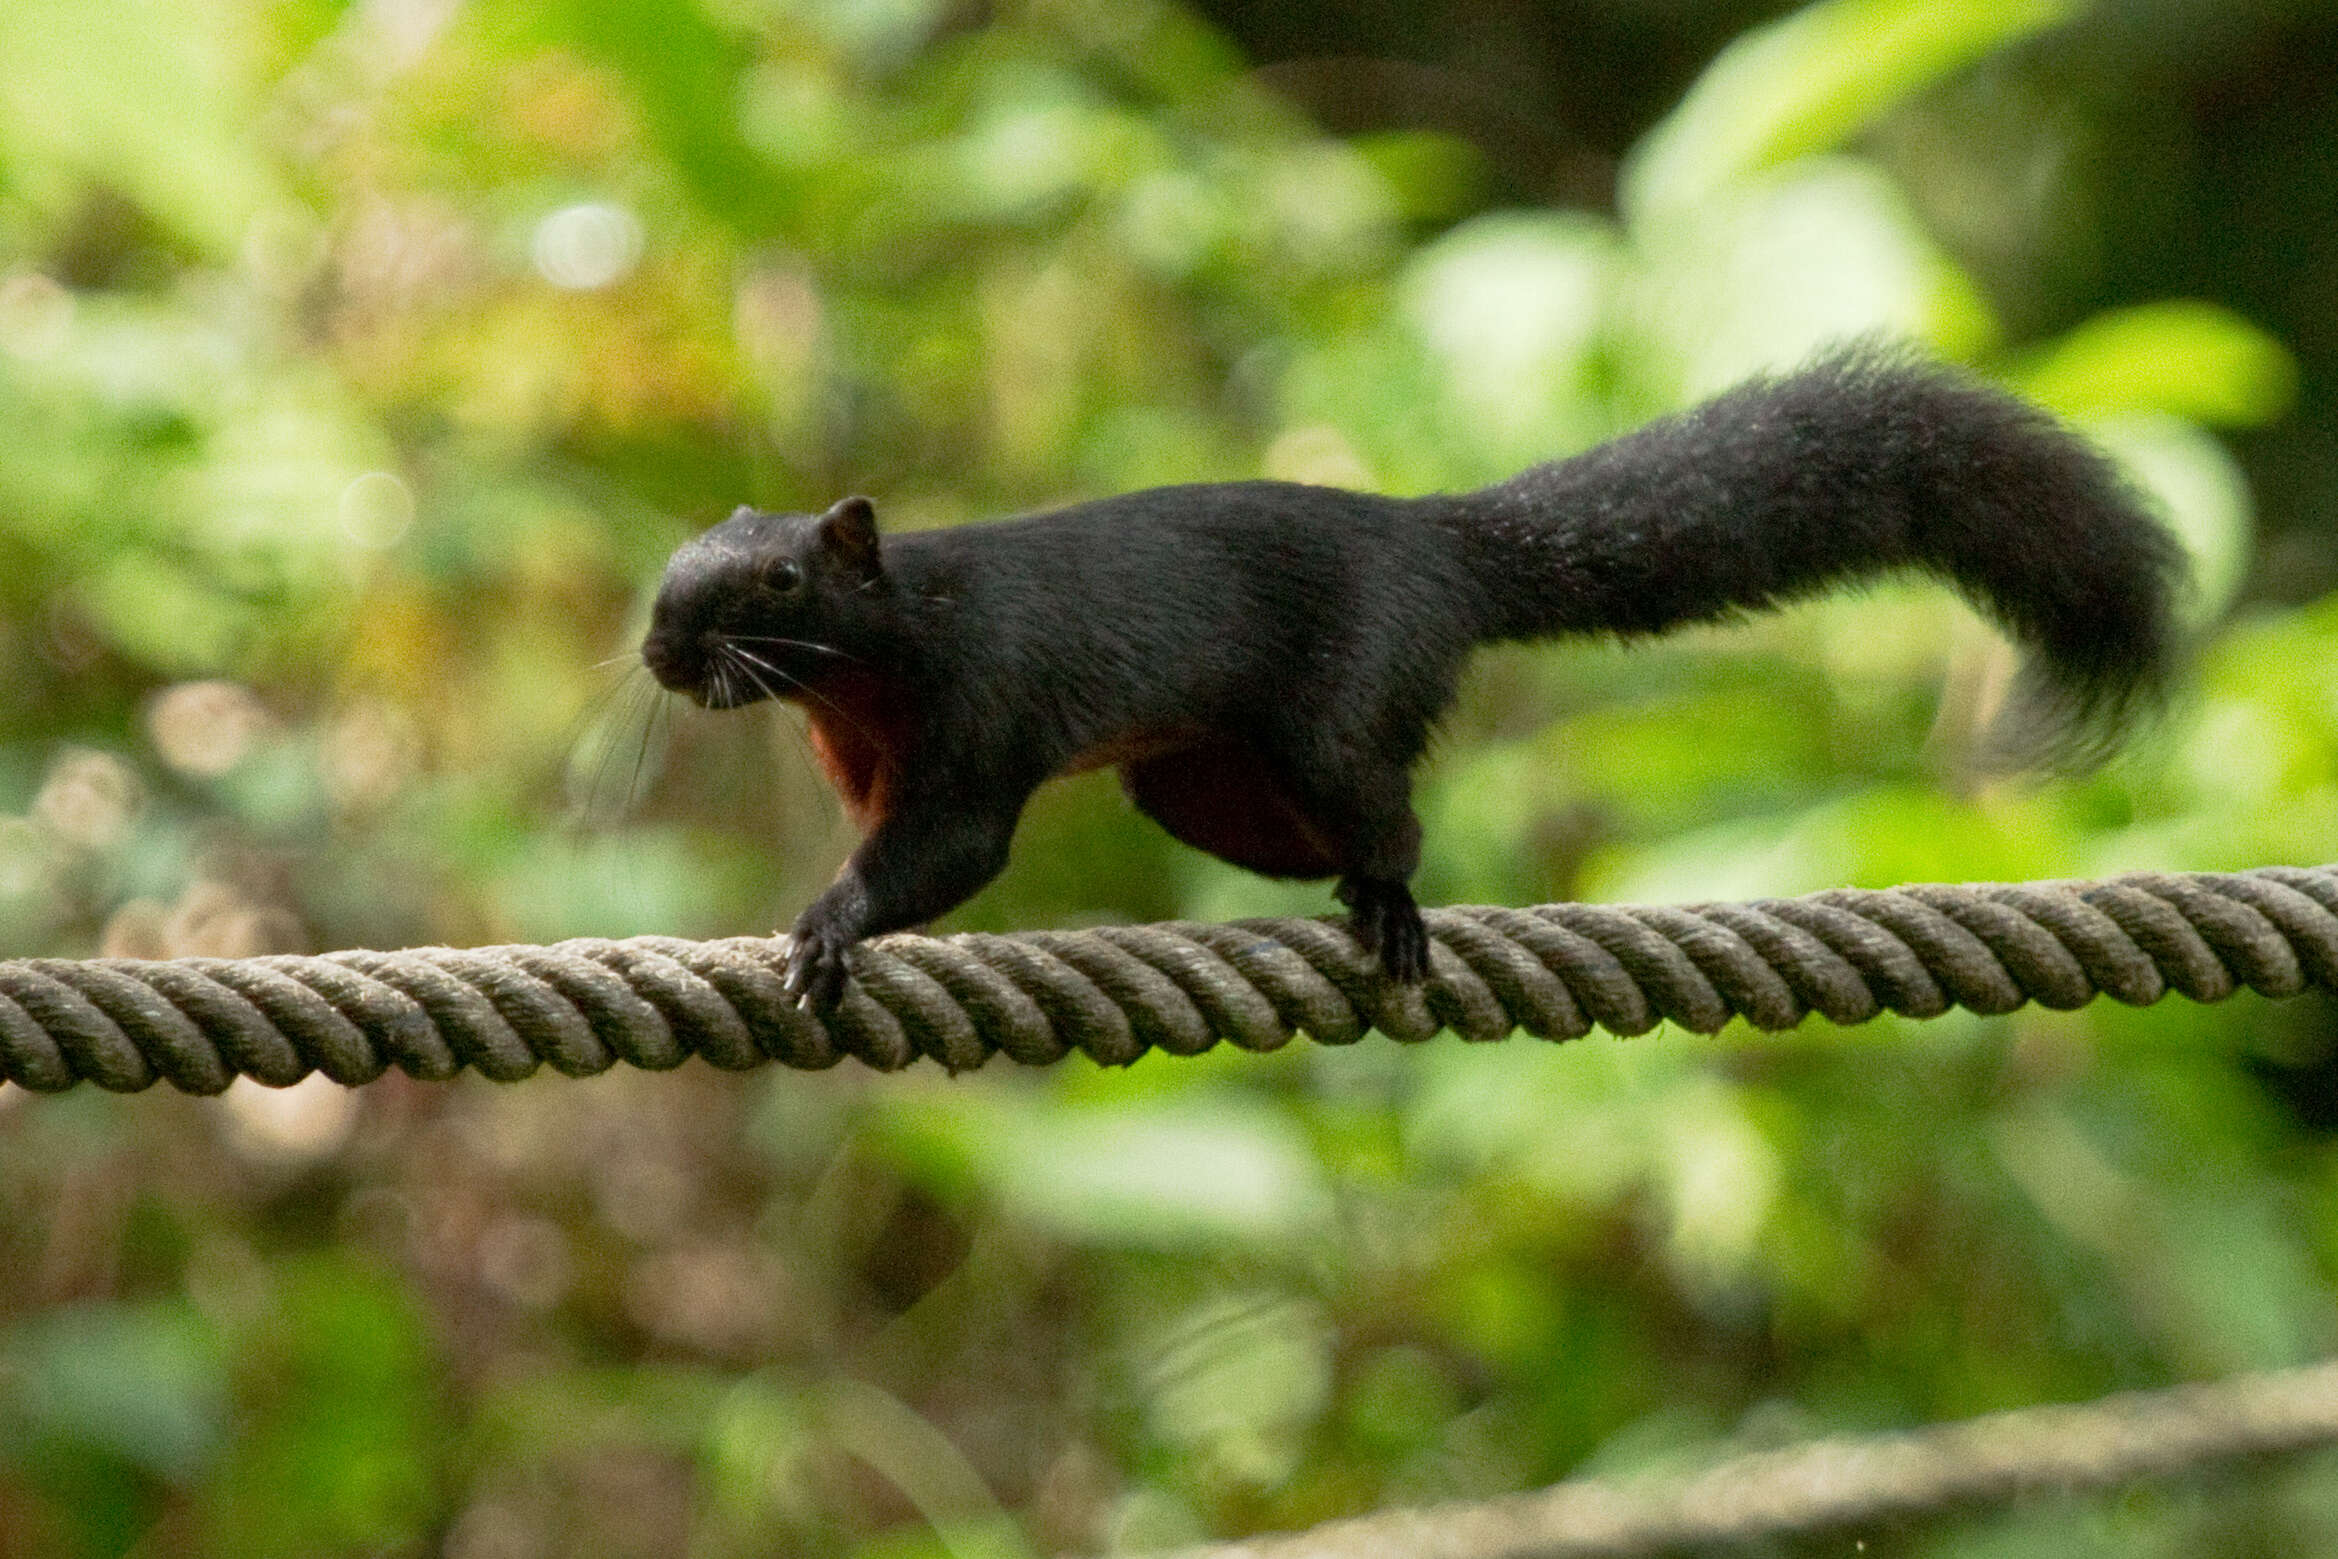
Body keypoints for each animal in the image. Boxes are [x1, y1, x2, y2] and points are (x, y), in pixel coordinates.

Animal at [645, 348, 2188, 1014]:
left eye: (779, 580)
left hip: (1335, 709)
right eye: (679, 557)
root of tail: (1435, 540)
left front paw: (826, 928)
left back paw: (1389, 909)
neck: (872, 667)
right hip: (1199, 782)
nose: (660, 645)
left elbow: (950, 850)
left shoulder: (982, 703)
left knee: (1392, 814)